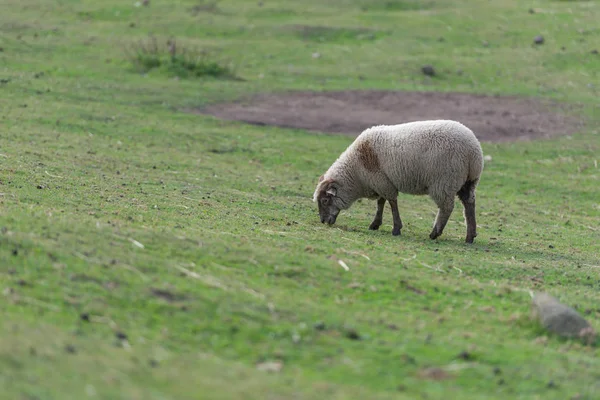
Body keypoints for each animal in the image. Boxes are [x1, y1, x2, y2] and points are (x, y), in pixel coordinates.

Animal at [312, 119, 486, 244]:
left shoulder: (382, 181)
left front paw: (396, 228)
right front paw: (375, 224)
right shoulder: (381, 181)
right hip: (468, 181)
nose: (323, 221)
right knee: (469, 204)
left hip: (444, 181)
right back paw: (470, 236)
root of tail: (473, 150)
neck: (355, 173)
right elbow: (381, 203)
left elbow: (391, 202)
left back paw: (435, 233)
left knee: (446, 207)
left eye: (325, 200)